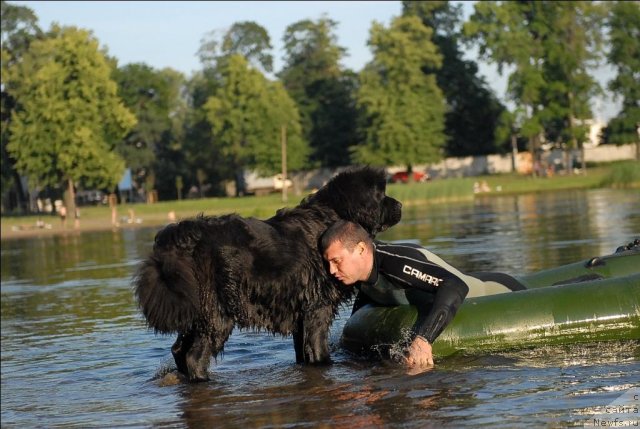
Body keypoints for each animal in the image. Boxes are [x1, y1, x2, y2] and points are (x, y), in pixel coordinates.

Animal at [134, 166, 400, 382]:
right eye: (381, 195)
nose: (399, 205)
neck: (332, 217)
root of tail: (181, 236)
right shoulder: (318, 308)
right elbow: (318, 350)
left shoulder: (300, 314)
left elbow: (303, 353)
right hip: (218, 312)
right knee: (194, 356)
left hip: (195, 309)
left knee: (178, 349)